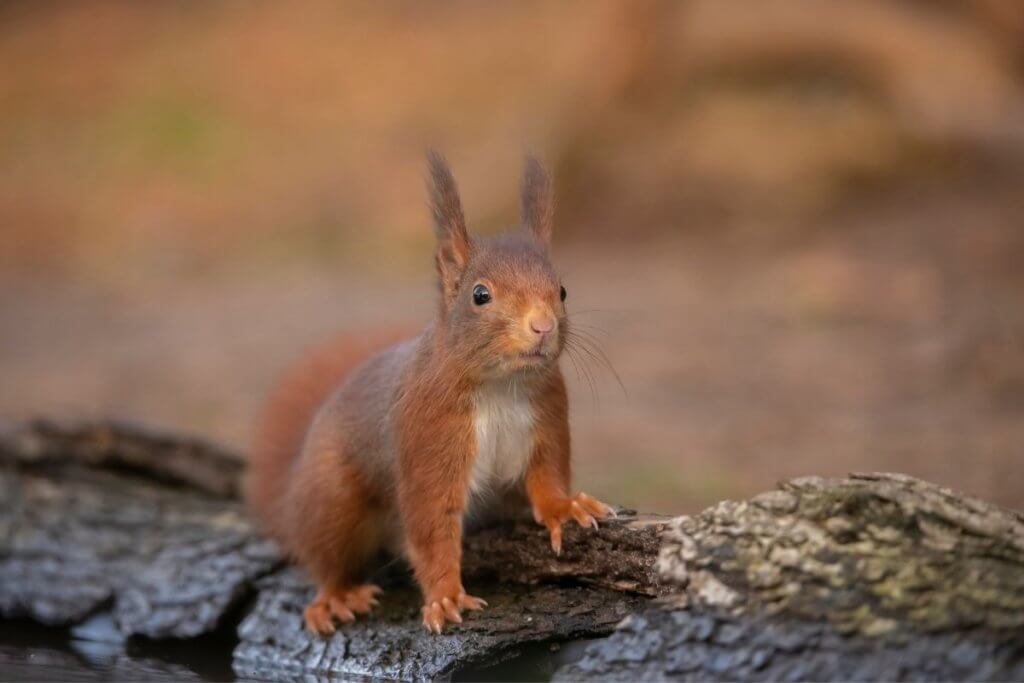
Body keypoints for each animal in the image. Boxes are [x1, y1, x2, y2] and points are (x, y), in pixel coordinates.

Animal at [245, 153, 614, 634]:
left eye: (563, 291)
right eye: (480, 294)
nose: (542, 326)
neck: (500, 386)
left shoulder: (547, 416)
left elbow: (547, 472)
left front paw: (564, 505)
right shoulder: (429, 438)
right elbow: (430, 524)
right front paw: (445, 597)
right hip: (331, 498)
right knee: (325, 557)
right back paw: (336, 596)